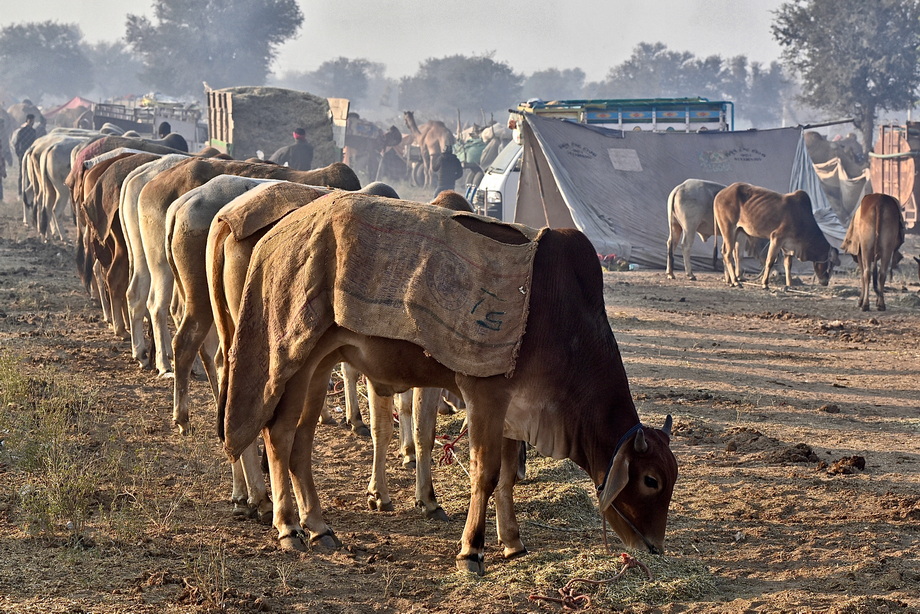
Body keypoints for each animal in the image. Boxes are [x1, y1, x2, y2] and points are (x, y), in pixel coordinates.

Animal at [217, 192, 677, 575]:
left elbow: (507, 477)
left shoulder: (515, 410)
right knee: (278, 436)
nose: (655, 547)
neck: (564, 318)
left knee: (300, 444)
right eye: (650, 480)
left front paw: (512, 542)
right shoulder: (486, 394)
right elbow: (485, 474)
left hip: (318, 367)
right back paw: (288, 527)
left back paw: (318, 526)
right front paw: (472, 550)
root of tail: (277, 231)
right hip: (293, 363)